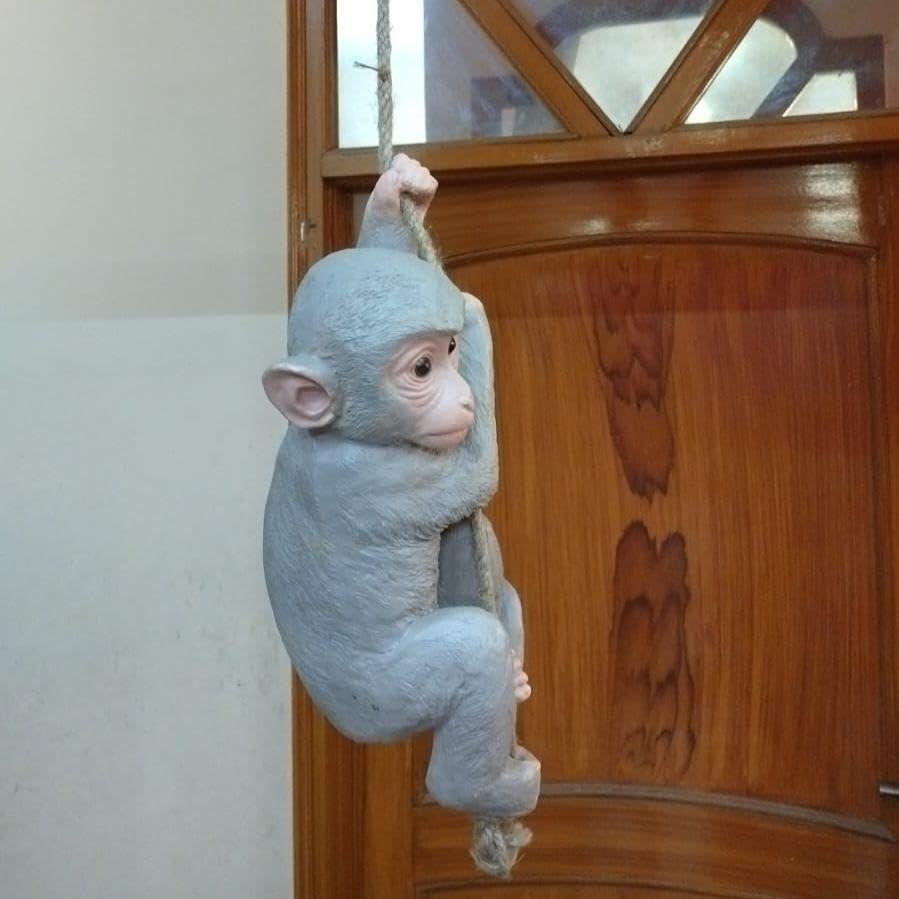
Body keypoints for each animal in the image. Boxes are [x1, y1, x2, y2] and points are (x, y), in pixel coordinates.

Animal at [262, 155, 539, 820]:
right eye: (422, 367)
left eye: (448, 352)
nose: (461, 397)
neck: (334, 431)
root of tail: (351, 723)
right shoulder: (380, 480)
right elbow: (477, 470)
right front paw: (474, 309)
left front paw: (395, 195)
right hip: (394, 693)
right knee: (472, 651)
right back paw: (483, 788)